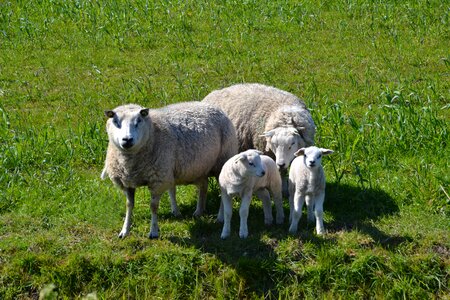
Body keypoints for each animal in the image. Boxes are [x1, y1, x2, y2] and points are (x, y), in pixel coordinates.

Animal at [101, 102, 239, 238]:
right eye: (116, 121)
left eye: (138, 121)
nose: (127, 140)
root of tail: (213, 106)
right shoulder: (127, 183)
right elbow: (129, 205)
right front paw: (124, 230)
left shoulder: (158, 180)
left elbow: (153, 206)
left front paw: (153, 231)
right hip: (200, 167)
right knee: (203, 186)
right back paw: (199, 211)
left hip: (222, 161)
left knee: (222, 192)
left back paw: (220, 218)